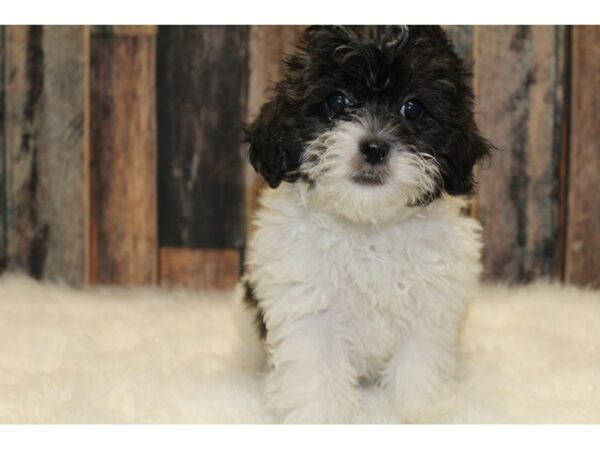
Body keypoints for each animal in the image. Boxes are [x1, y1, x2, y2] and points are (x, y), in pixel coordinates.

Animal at [241, 26, 490, 424]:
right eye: (336, 101)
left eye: (412, 109)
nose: (374, 147)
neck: (368, 224)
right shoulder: (306, 303)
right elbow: (317, 366)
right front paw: (323, 416)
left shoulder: (432, 301)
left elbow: (420, 360)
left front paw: (418, 411)